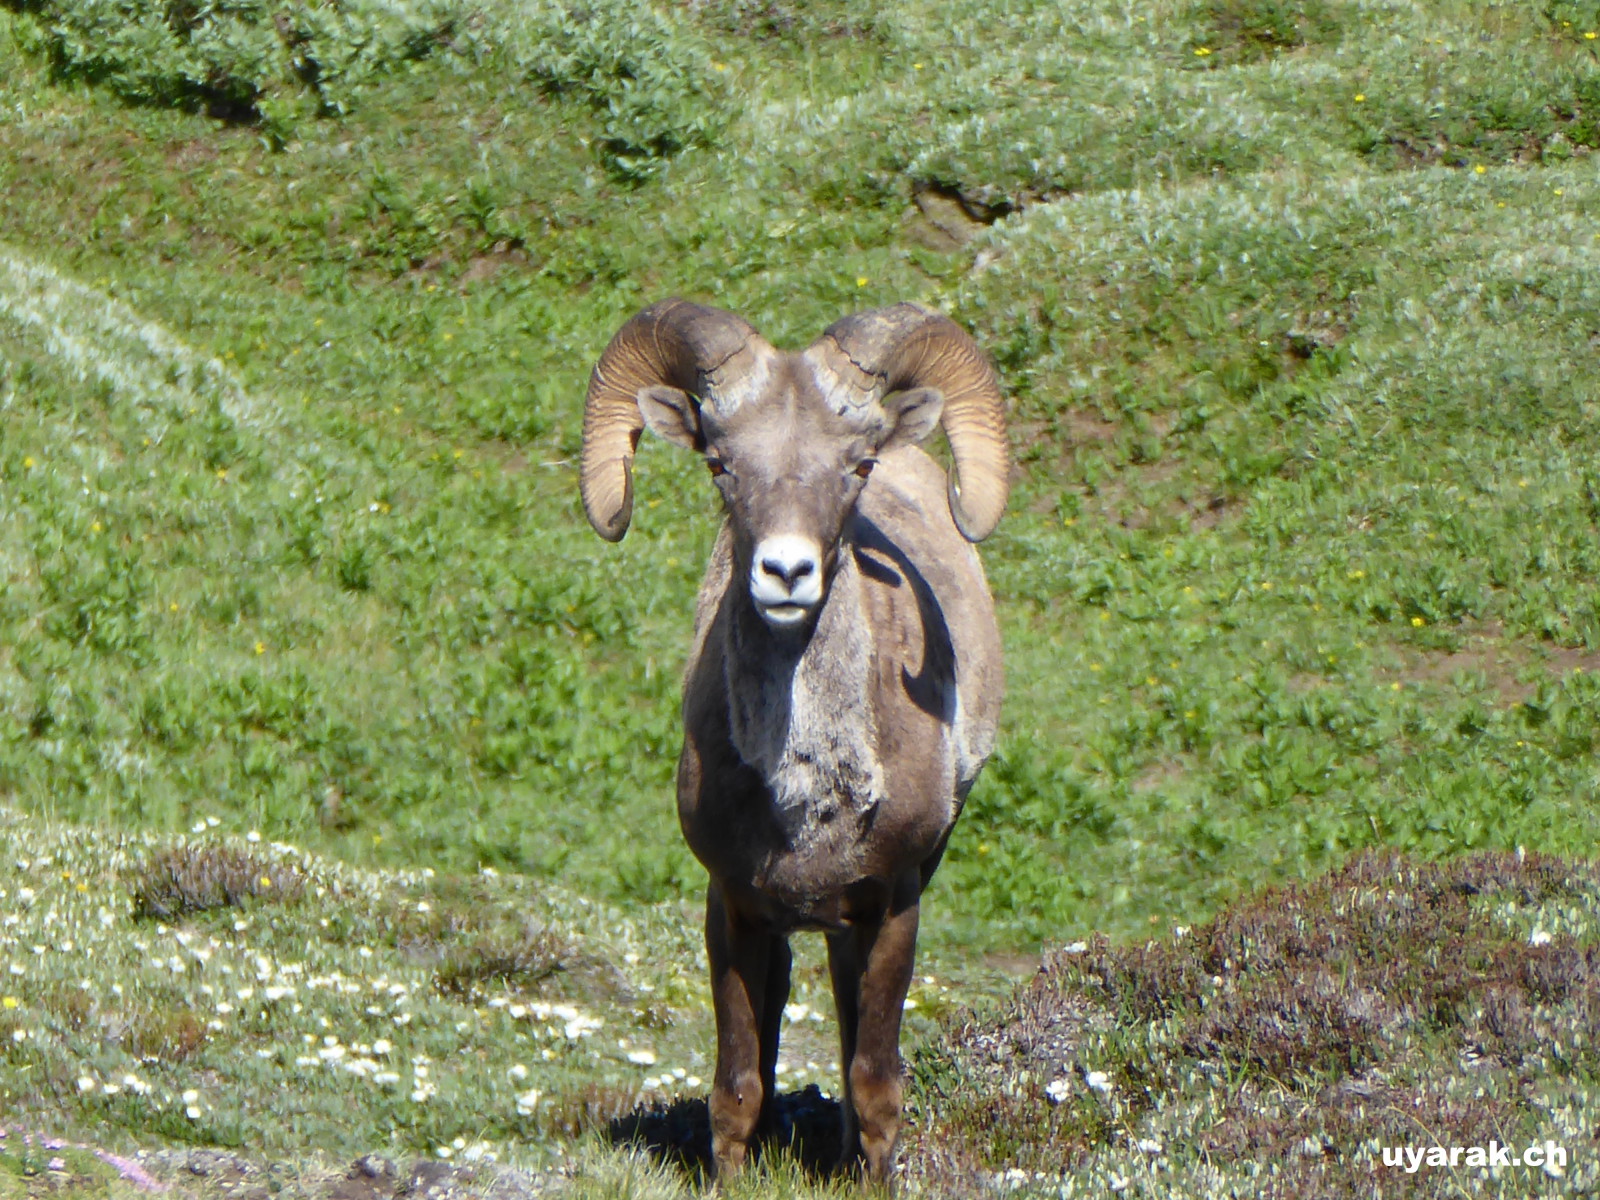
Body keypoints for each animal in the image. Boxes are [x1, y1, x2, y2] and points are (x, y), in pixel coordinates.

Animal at [578, 299, 1008, 1185]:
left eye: (859, 465)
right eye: (720, 464)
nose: (785, 573)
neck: (809, 799)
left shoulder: (894, 903)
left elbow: (875, 1083)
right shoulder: (734, 906)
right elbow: (740, 1086)